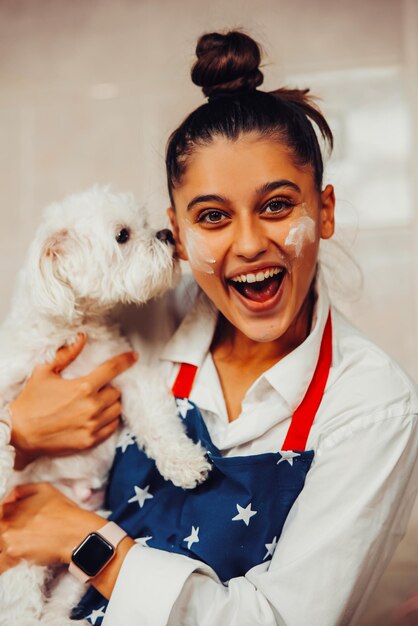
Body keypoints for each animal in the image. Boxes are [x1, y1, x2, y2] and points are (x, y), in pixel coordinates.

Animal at [0, 186, 211, 624]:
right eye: (122, 236)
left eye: (146, 223)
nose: (167, 235)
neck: (70, 328)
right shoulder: (10, 380)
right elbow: (5, 425)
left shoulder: (127, 377)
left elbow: (159, 424)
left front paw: (186, 464)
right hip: (23, 566)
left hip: (86, 547)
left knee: (62, 597)